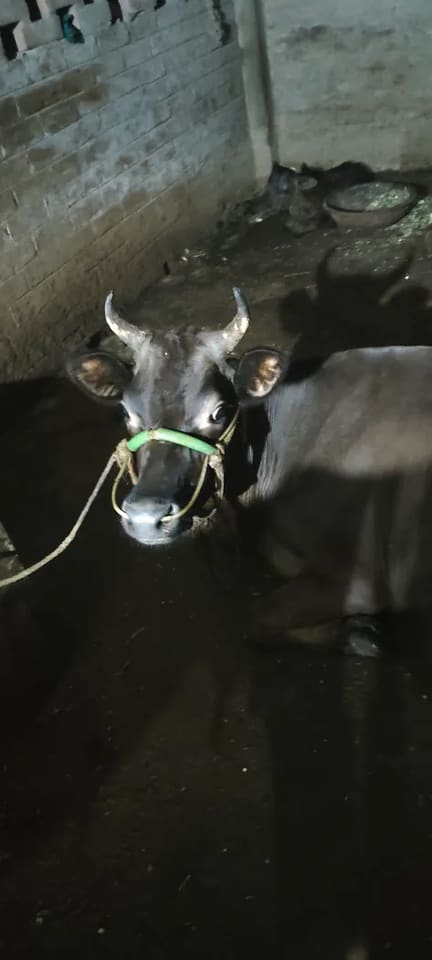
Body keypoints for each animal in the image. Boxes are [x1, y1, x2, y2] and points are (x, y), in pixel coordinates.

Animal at [67, 289, 432, 658]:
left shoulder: (359, 576)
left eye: (219, 412)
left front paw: (361, 633)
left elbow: (255, 618)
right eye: (127, 412)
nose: (145, 515)